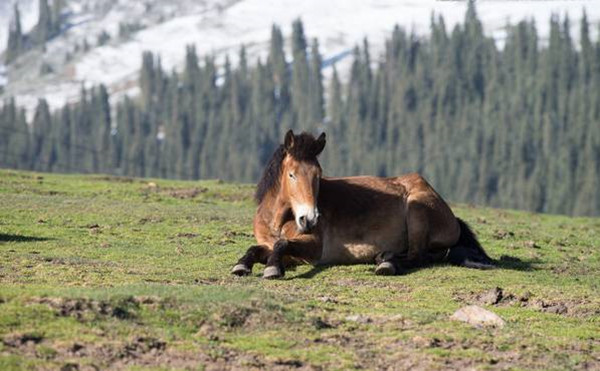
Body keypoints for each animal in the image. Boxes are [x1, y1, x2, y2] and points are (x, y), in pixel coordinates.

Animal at [230, 131, 492, 280]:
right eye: (292, 175)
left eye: (318, 175)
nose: (310, 219)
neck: (277, 220)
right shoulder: (277, 248)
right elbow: (257, 249)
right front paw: (242, 265)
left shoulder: (312, 249)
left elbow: (282, 244)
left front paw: (272, 269)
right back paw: (384, 256)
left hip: (417, 208)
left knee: (418, 256)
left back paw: (385, 262)